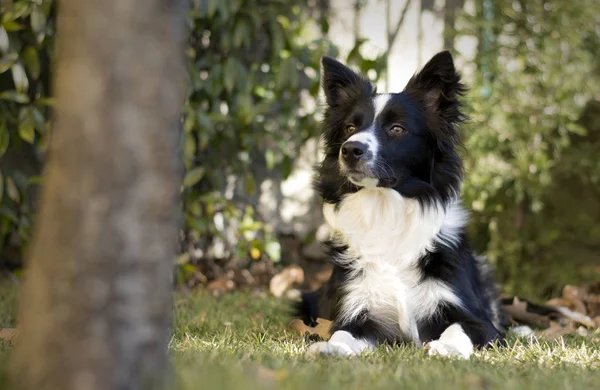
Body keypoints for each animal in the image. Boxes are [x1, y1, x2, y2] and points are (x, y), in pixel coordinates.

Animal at [298, 50, 506, 358]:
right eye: (350, 127)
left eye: (397, 129)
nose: (350, 149)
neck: (385, 209)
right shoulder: (358, 310)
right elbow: (342, 334)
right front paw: (330, 348)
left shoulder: (477, 321)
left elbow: (459, 329)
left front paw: (444, 347)